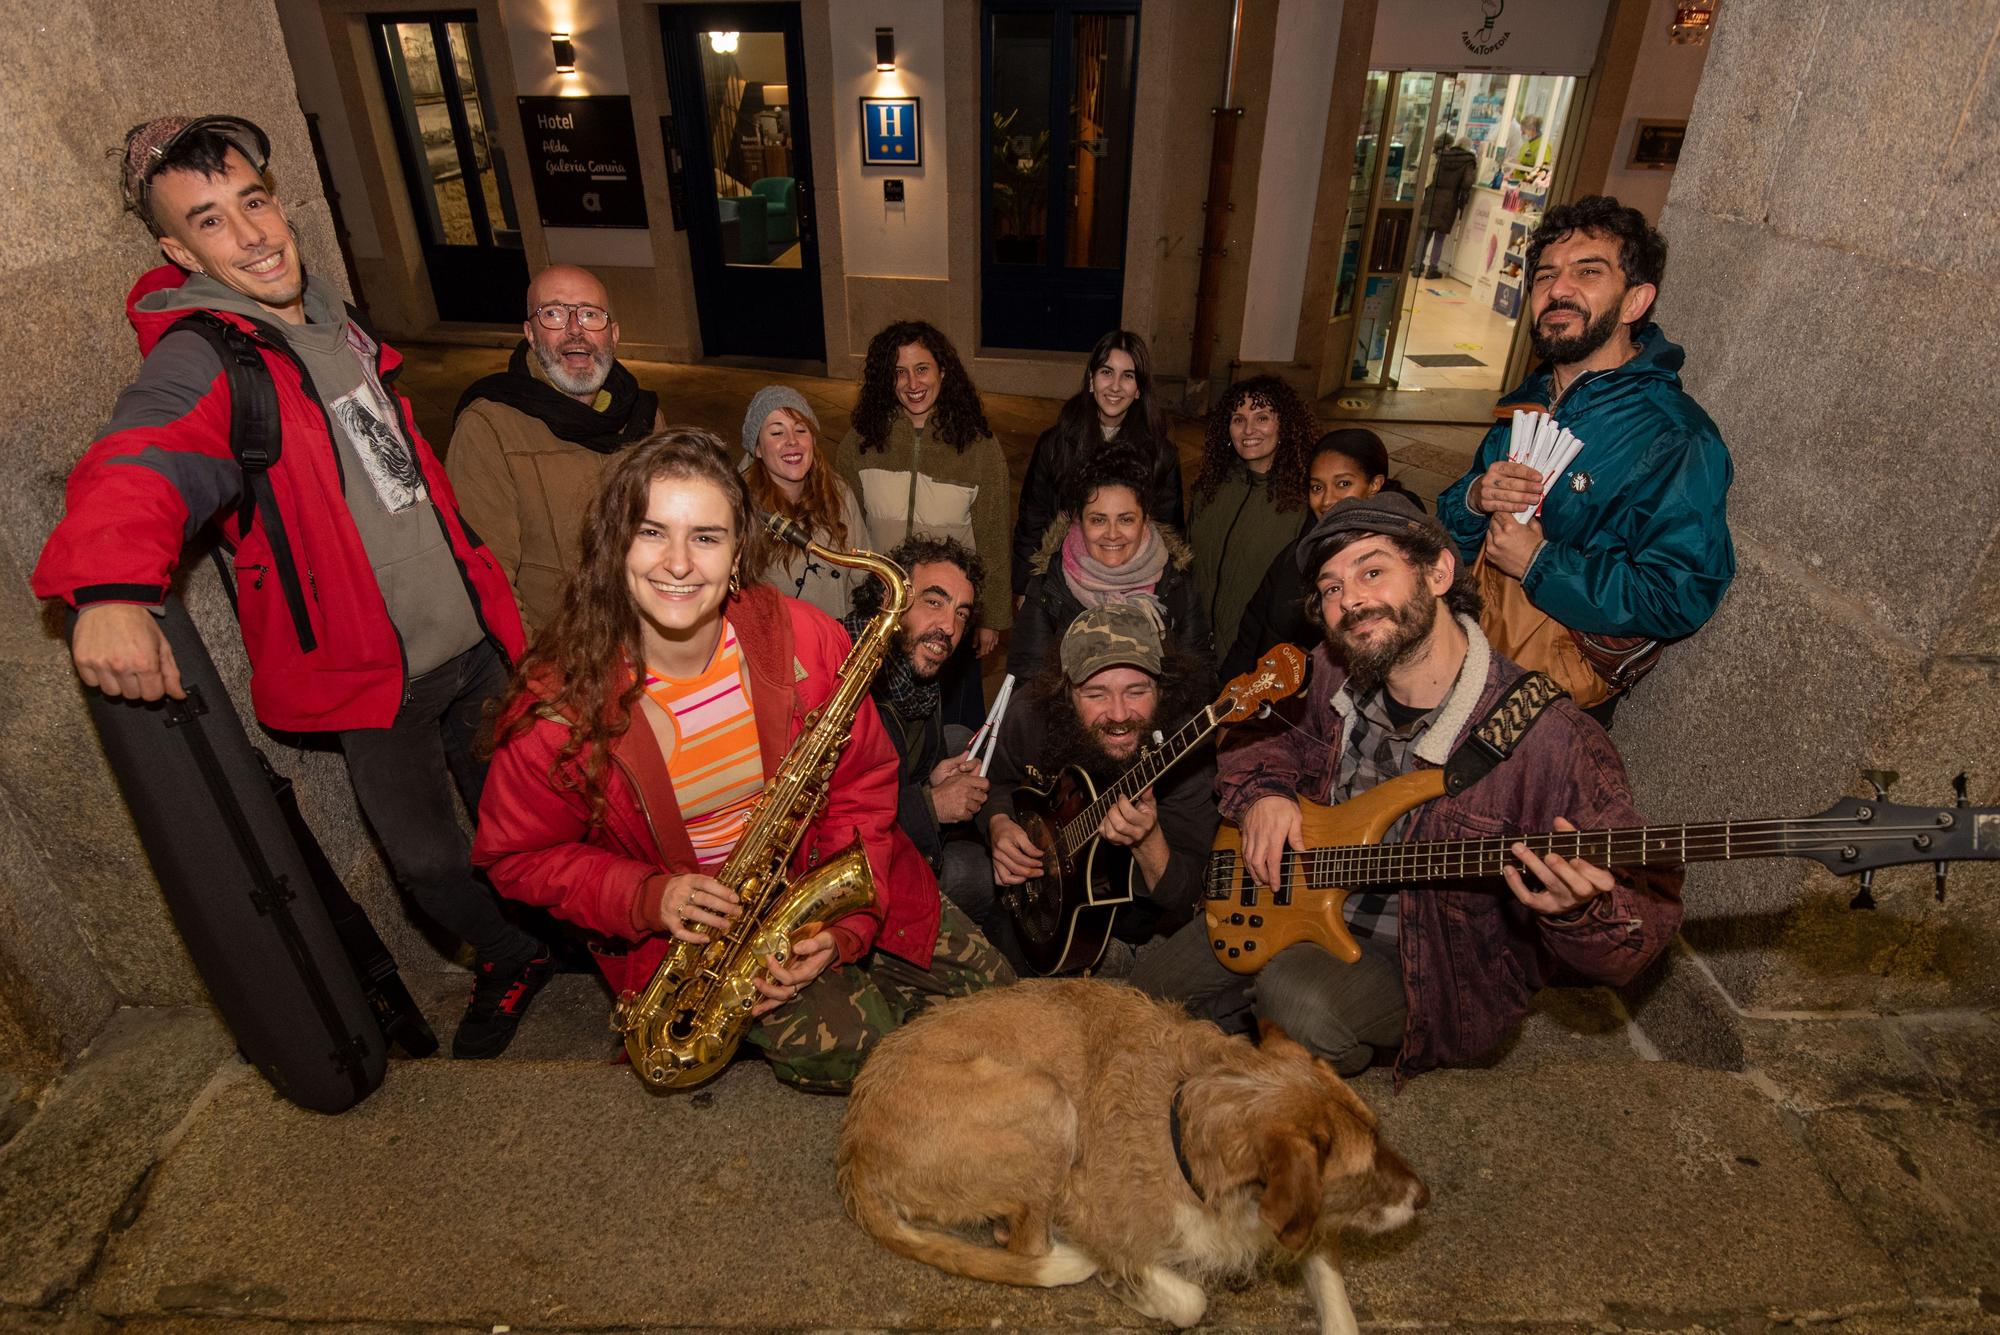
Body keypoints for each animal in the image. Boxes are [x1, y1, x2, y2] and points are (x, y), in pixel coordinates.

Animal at [836, 975, 1432, 1327]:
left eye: (1381, 1136)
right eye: (1359, 1175)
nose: (1425, 1198)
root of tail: (855, 1148)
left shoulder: (1303, 1219)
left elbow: (1338, 1308)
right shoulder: (1092, 1209)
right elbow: (1188, 1299)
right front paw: (1129, 1285)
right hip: (1046, 1098)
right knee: (1026, 1247)